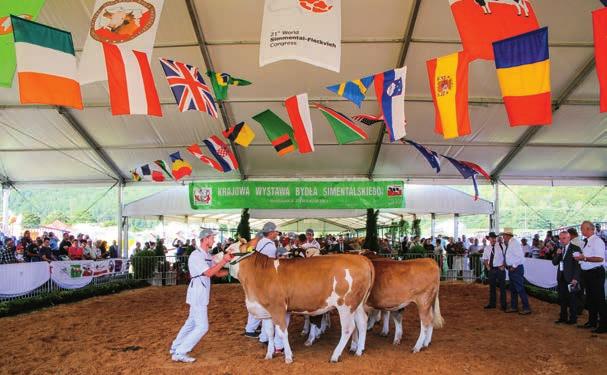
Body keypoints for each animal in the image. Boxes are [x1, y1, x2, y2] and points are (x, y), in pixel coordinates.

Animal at [228, 247, 376, 364]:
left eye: (229, 250)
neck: (261, 274)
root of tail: (360, 259)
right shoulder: (266, 310)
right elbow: (270, 333)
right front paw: (269, 354)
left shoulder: (278, 308)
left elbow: (282, 333)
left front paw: (288, 357)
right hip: (357, 304)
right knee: (362, 322)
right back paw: (359, 350)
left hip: (345, 305)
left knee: (348, 328)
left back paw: (335, 355)